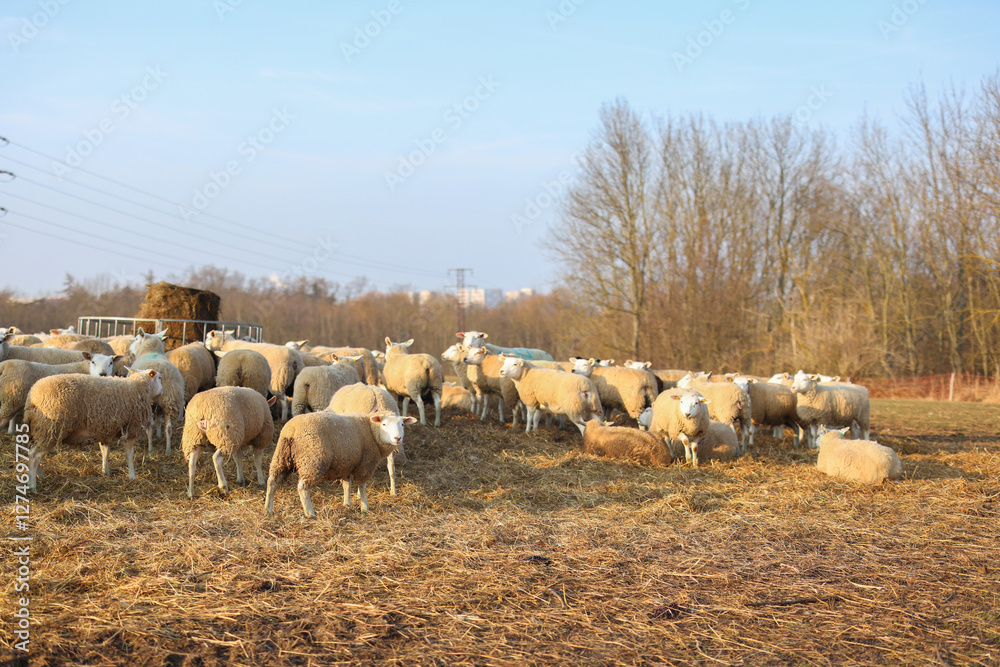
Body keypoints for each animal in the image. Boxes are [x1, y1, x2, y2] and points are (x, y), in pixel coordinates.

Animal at [24, 368, 163, 490]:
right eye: (160, 378)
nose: (162, 392)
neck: (138, 387)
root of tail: (32, 397)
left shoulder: (104, 430)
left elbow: (105, 451)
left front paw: (105, 471)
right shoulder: (130, 428)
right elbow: (130, 454)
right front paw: (132, 476)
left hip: (38, 430)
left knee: (33, 453)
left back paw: (40, 476)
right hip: (50, 430)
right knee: (33, 455)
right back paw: (32, 485)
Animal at [264, 410, 416, 518]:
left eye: (402, 424)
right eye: (384, 424)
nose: (397, 438)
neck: (371, 431)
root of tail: (292, 429)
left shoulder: (346, 465)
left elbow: (347, 485)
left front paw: (347, 504)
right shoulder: (365, 465)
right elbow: (362, 487)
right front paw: (365, 508)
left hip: (281, 457)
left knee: (272, 481)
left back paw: (268, 510)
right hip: (313, 461)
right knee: (302, 487)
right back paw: (310, 513)